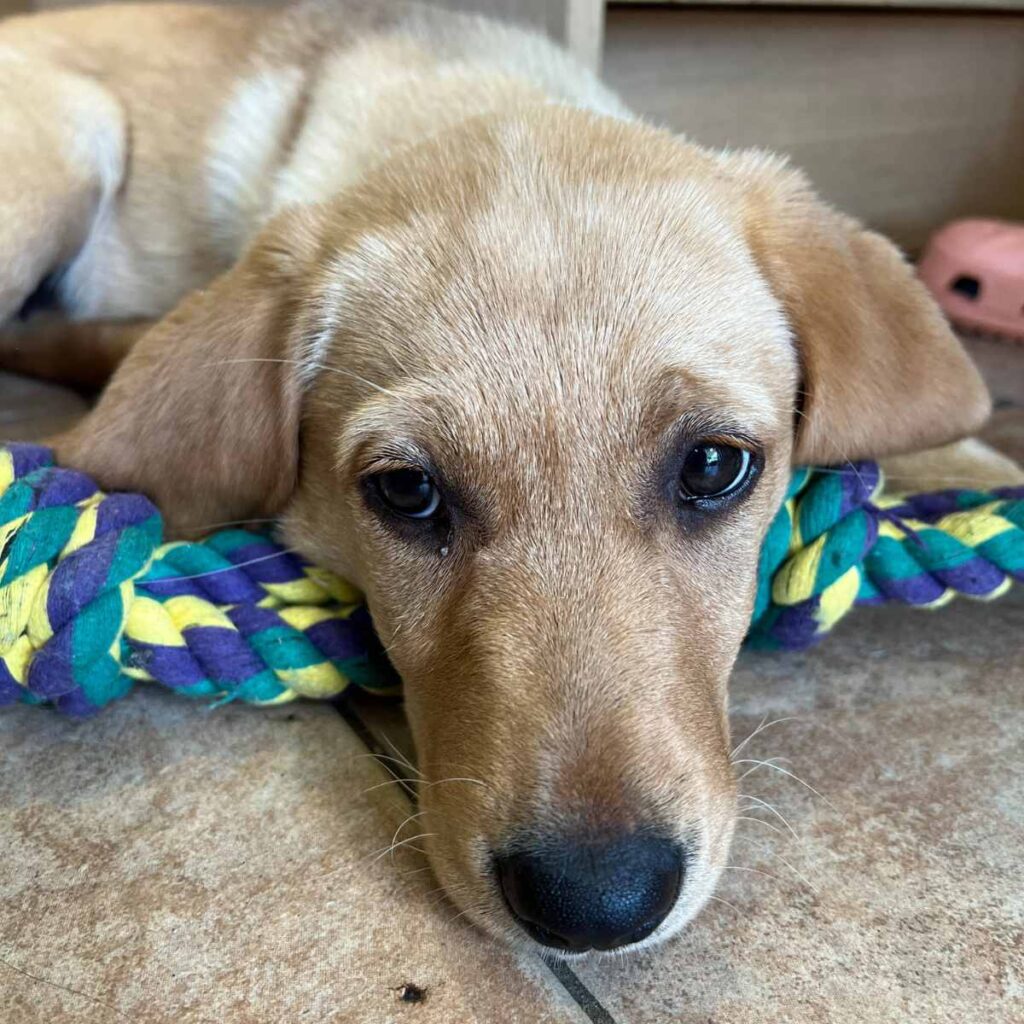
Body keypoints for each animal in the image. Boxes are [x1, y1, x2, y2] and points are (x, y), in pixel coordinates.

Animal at [0, 2, 1015, 958]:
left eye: (714, 466)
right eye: (407, 492)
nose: (597, 905)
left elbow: (925, 413)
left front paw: (969, 463)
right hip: (67, 147)